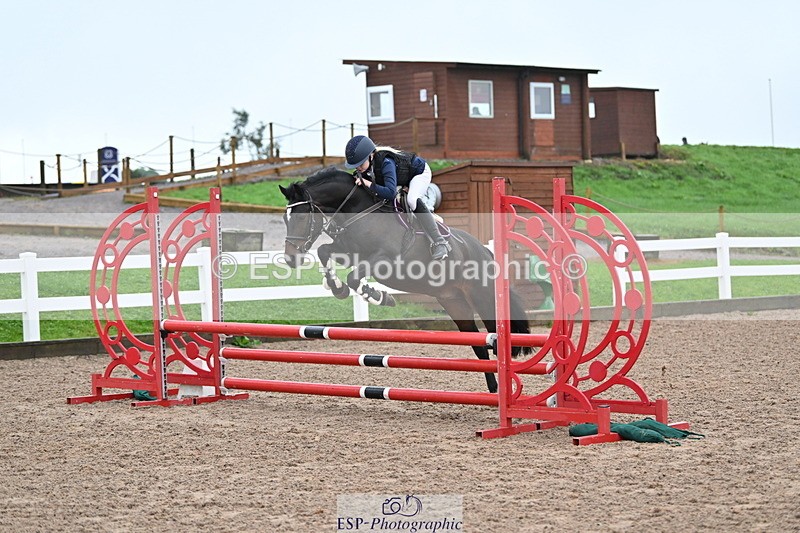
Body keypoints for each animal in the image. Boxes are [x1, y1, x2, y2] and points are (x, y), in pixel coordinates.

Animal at [279, 166, 532, 393]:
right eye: (285, 218)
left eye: (302, 216)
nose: (291, 259)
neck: (359, 213)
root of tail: (484, 251)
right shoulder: (347, 252)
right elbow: (325, 252)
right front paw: (337, 287)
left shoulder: (384, 260)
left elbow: (354, 276)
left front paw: (378, 296)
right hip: (454, 303)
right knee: (479, 345)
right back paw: (494, 388)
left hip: (482, 297)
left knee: (495, 337)